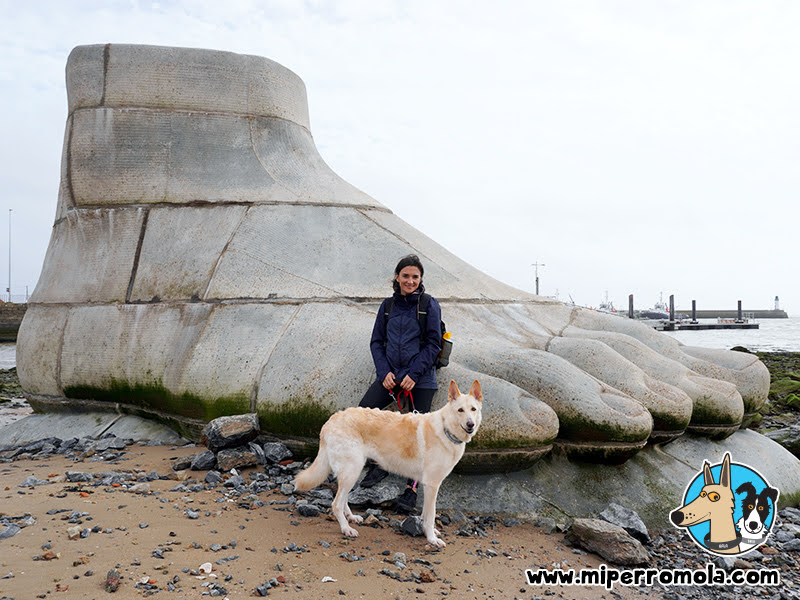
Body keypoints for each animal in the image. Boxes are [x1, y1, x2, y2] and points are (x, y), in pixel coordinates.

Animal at [294, 380, 482, 548]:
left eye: (473, 409)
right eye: (460, 410)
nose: (470, 424)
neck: (446, 429)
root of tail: (330, 421)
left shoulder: (428, 486)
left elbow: (425, 514)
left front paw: (428, 531)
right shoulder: (432, 484)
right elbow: (431, 515)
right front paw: (431, 538)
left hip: (352, 471)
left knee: (342, 498)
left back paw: (351, 517)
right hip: (352, 470)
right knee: (336, 504)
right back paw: (346, 528)